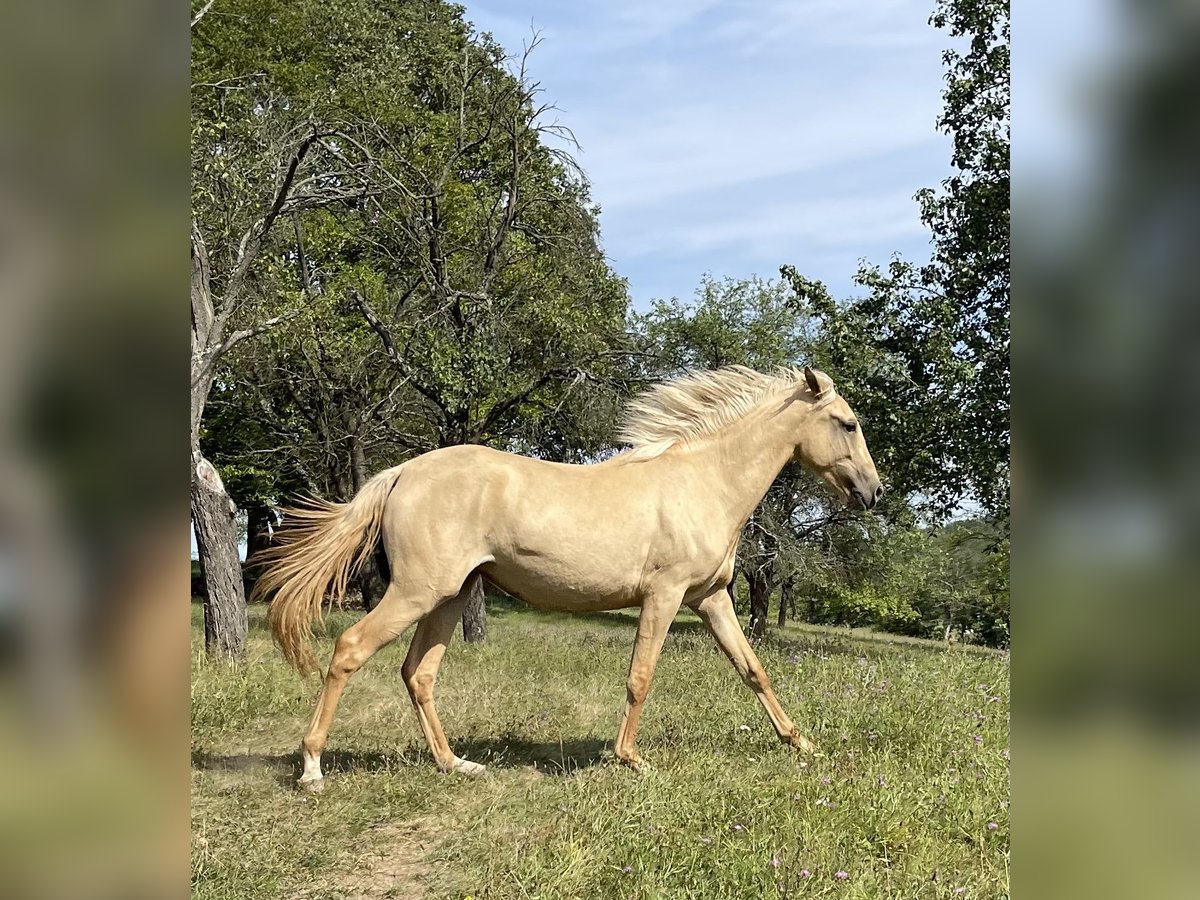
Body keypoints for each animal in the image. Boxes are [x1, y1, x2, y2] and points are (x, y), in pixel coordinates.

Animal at [253, 362, 888, 792]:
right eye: (847, 423)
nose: (873, 492)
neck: (704, 481)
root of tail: (404, 471)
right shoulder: (665, 595)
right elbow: (640, 677)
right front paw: (630, 759)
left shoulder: (711, 599)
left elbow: (753, 670)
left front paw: (801, 743)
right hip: (415, 592)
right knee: (350, 649)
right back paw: (312, 768)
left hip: (449, 597)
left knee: (419, 674)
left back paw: (455, 764)